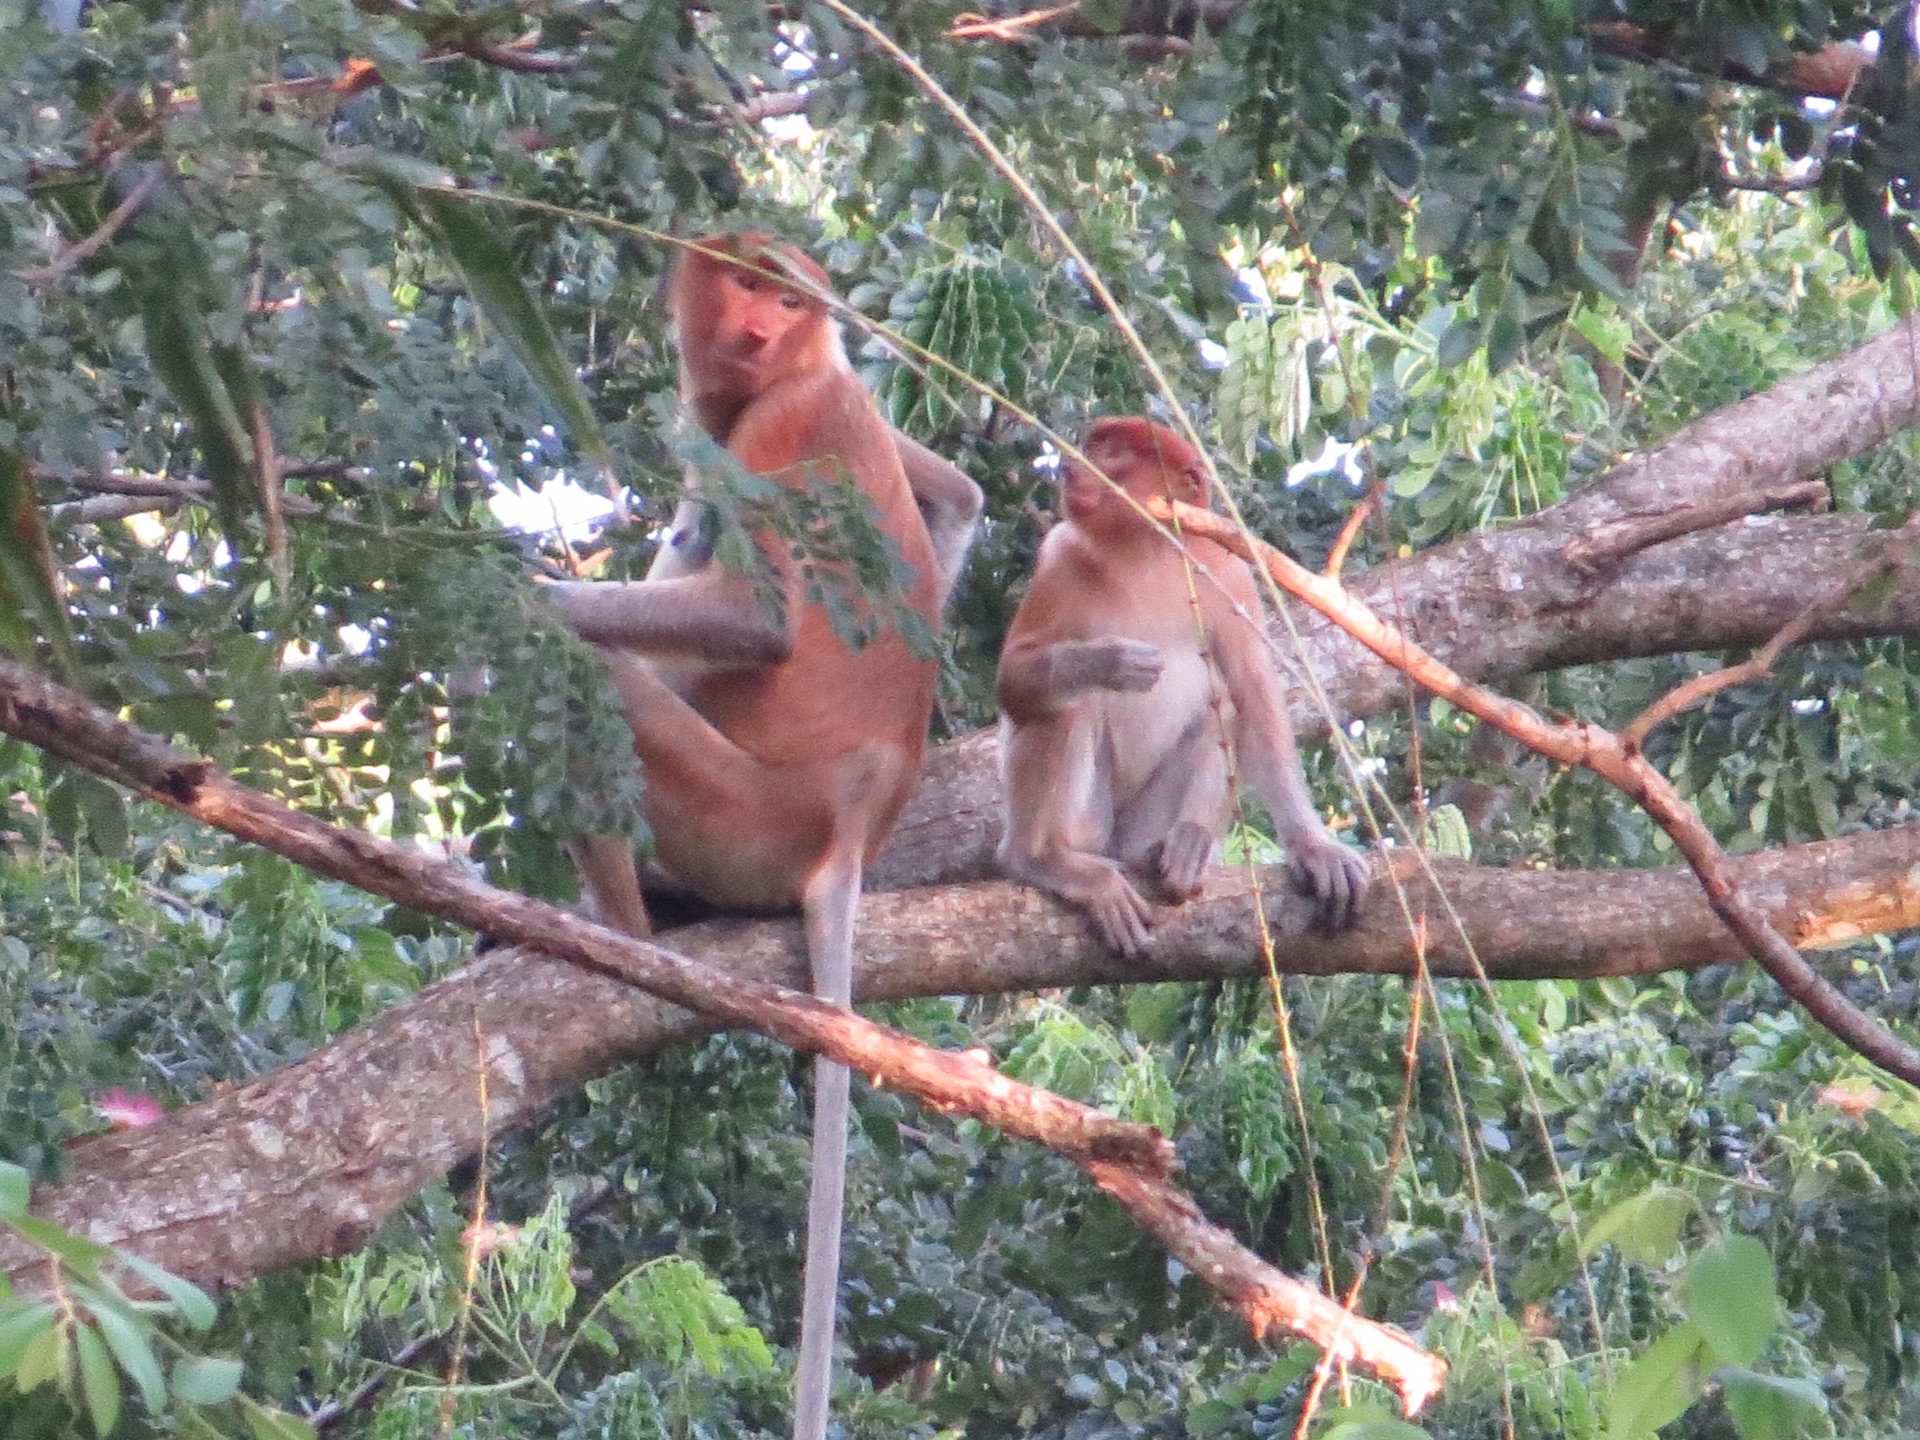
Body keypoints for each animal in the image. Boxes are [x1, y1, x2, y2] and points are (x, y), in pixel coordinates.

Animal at [545, 237, 956, 1440]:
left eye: (785, 296)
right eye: (745, 283)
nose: (762, 329)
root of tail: (851, 825)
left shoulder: (784, 423)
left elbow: (756, 620)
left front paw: (518, 593)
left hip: (745, 814)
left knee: (611, 676)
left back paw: (623, 925)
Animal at [998, 416, 1374, 960]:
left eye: (1111, 452)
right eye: (1094, 445)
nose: (1069, 467)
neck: (1143, 548)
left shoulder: (1226, 571)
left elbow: (1253, 691)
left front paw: (1316, 849)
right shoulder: (1059, 557)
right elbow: (1013, 679)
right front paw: (1110, 661)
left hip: (1140, 829)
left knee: (1227, 706)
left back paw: (1186, 844)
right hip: (1088, 826)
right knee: (1065, 707)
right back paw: (1040, 859)